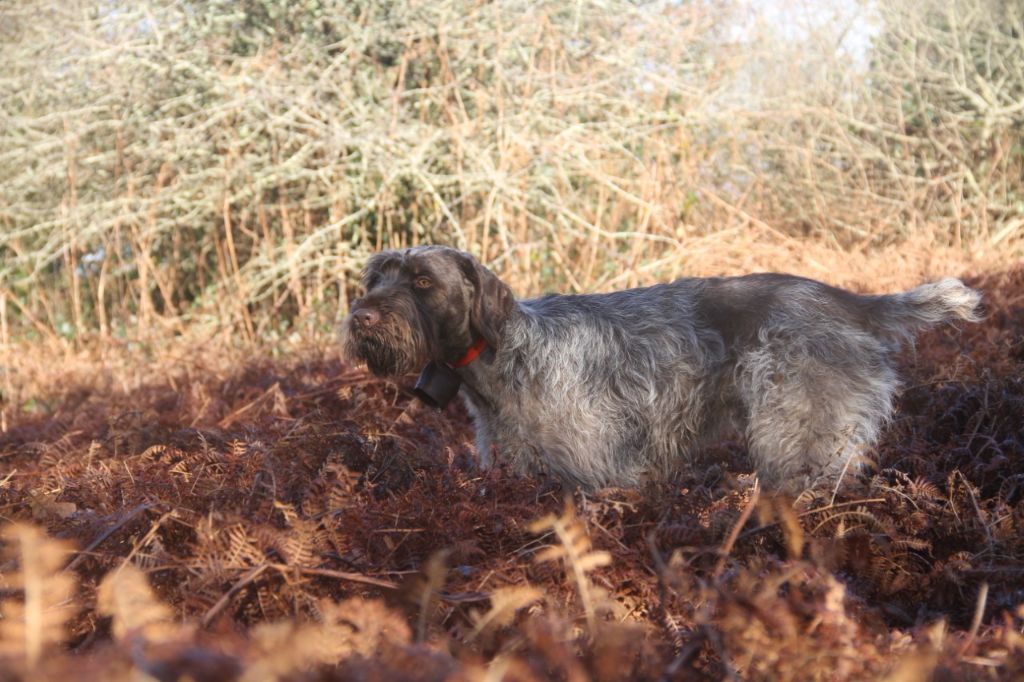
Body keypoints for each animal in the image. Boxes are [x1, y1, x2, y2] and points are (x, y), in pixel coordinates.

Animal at [339, 244, 978, 489]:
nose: (360, 317)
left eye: (422, 281)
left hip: (800, 444)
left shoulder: (600, 477)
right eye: (375, 277)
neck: (504, 354)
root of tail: (853, 302)